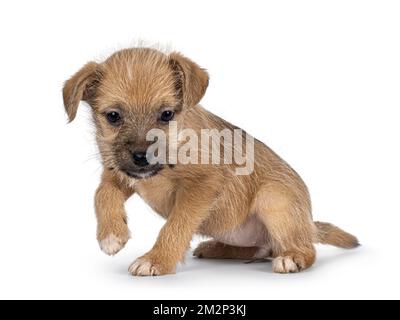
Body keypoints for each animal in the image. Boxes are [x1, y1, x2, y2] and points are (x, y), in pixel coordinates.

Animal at [63, 47, 360, 276]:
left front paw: (156, 259)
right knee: (262, 248)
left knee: (305, 249)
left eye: (167, 114)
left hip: (274, 199)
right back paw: (216, 248)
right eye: (113, 116)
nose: (141, 155)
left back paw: (292, 257)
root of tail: (309, 224)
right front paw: (112, 234)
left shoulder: (201, 185)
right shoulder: (118, 173)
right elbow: (102, 193)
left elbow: (176, 224)